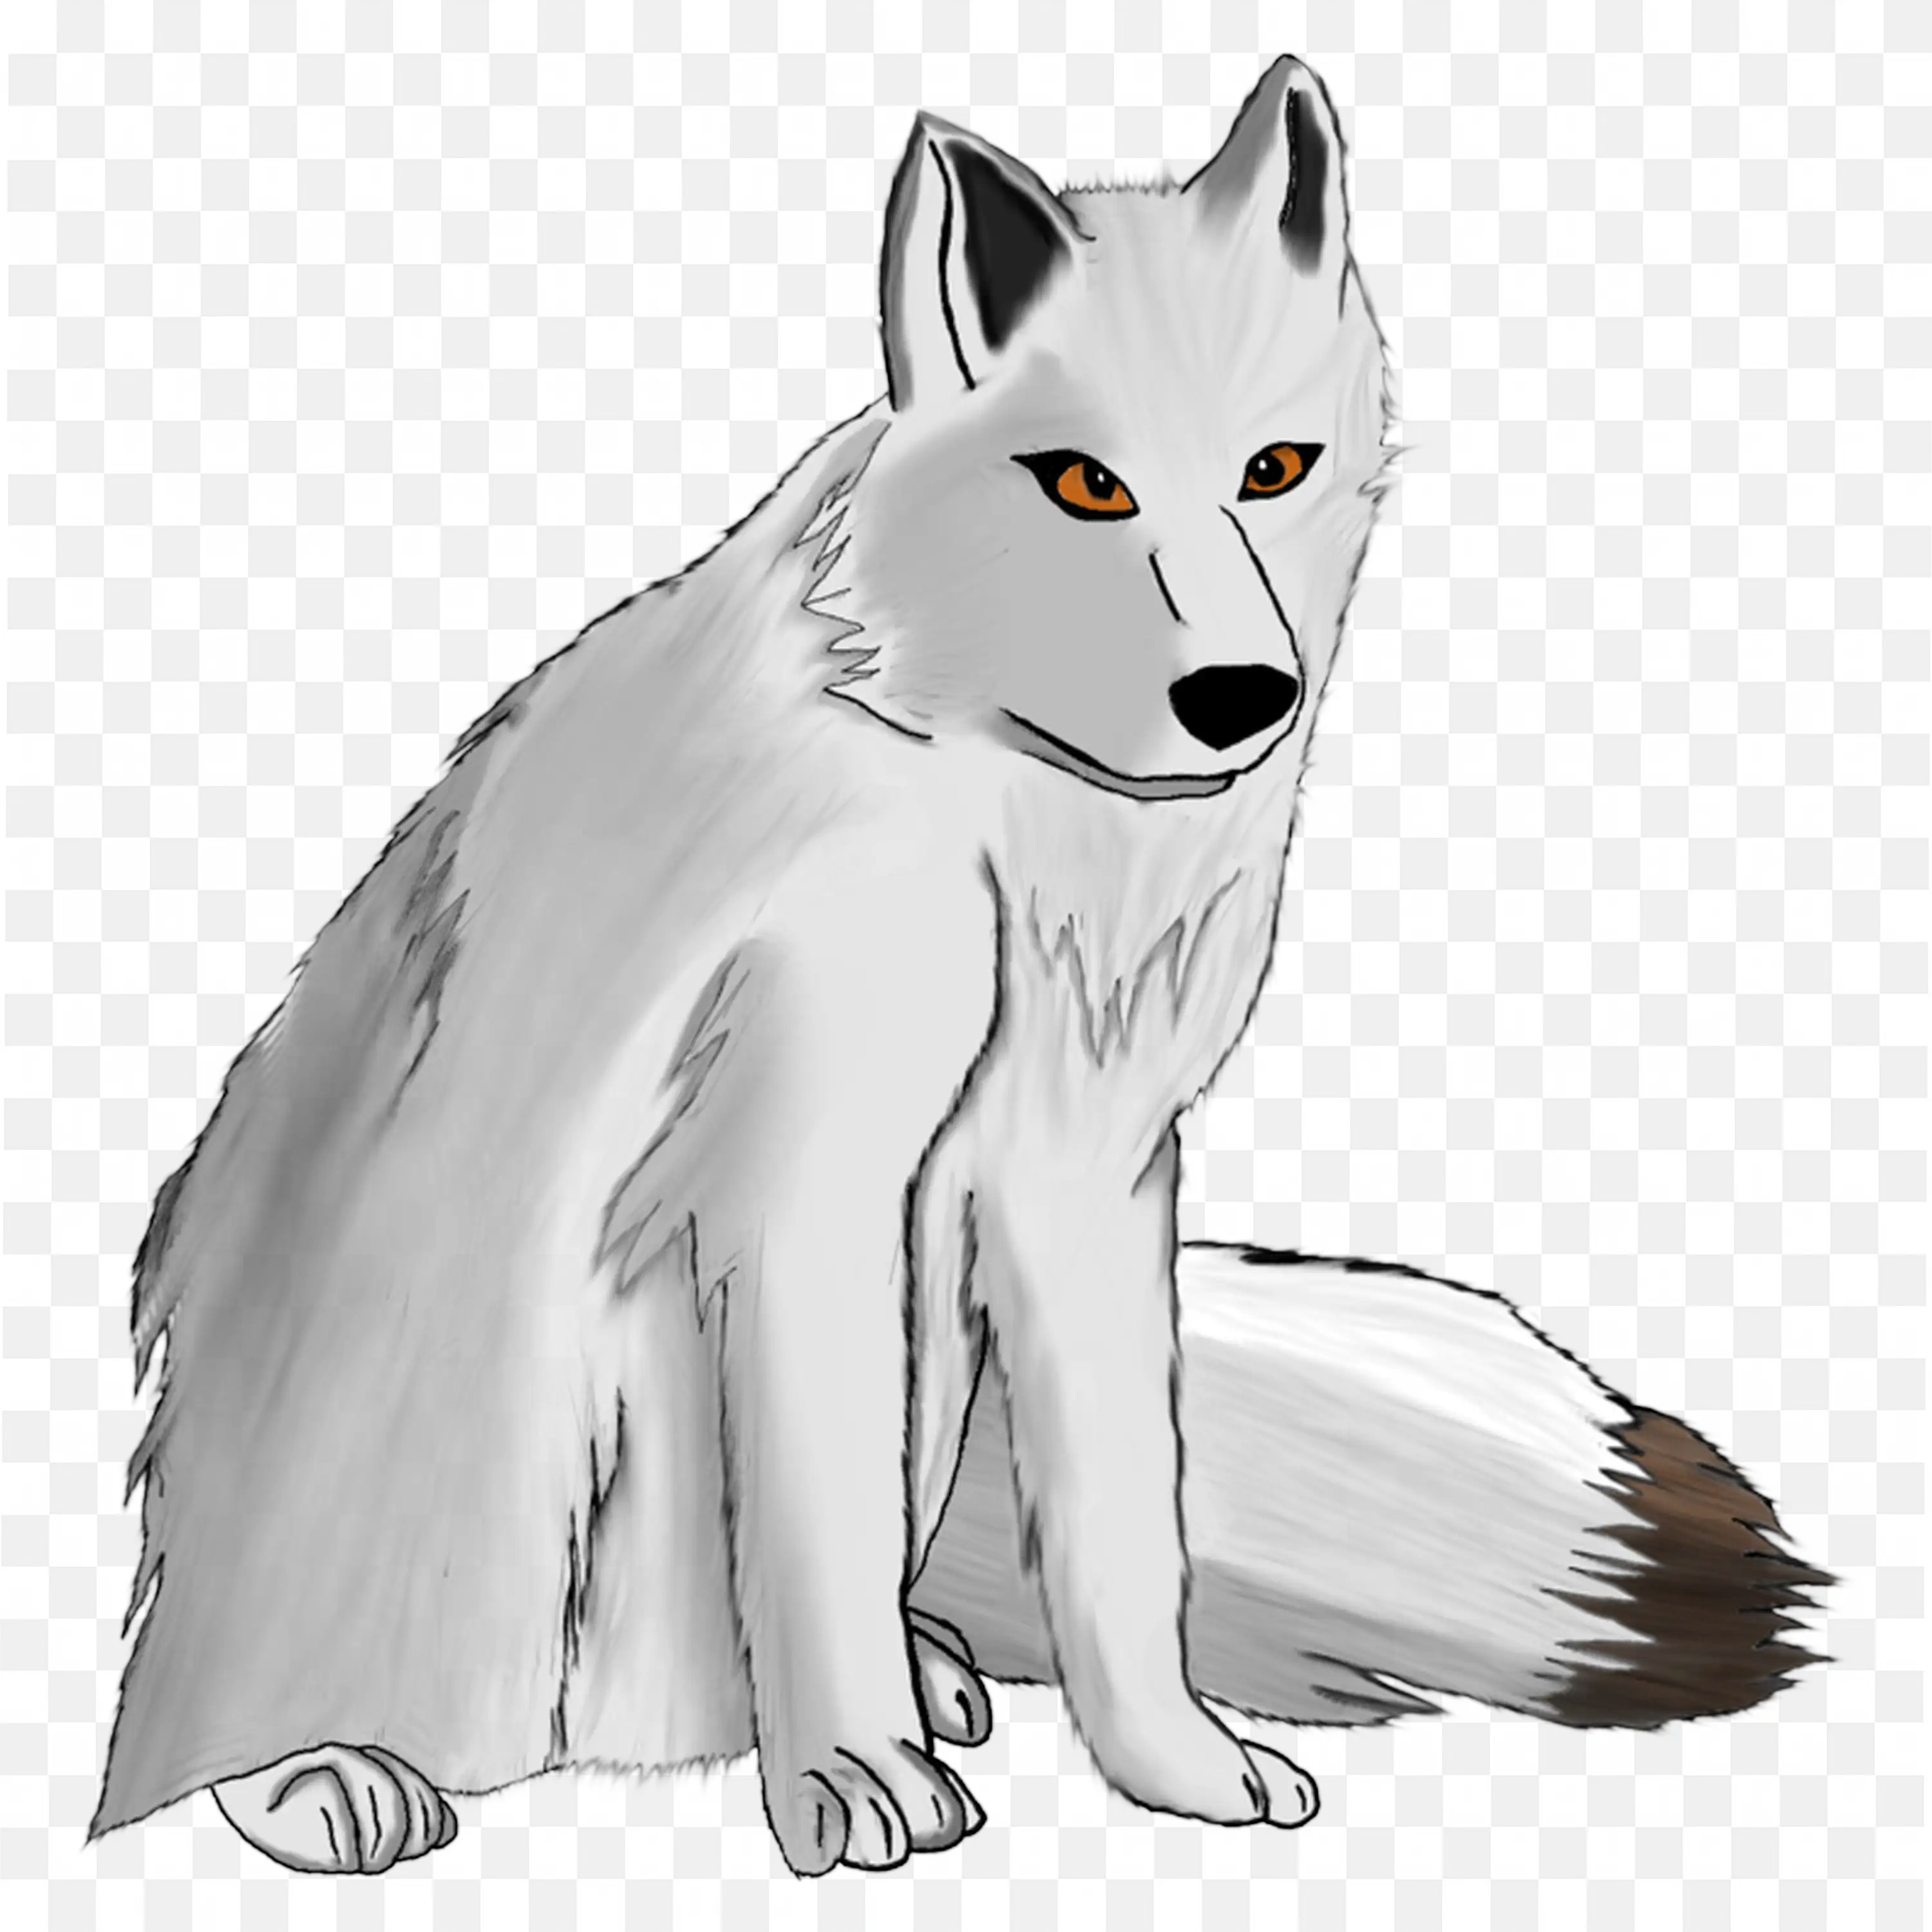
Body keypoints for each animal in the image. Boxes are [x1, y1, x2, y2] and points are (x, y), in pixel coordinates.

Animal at [89, 55, 1829, 1880]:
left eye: (1275, 467)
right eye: (1086, 484)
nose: (1242, 696)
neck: (1010, 803)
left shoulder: (1086, 1168)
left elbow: (1127, 1536)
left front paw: (1173, 1767)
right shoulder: (808, 1178)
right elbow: (821, 1526)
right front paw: (853, 1778)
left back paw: (903, 1681)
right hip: (482, 1447)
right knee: (227, 1725)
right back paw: (327, 1770)